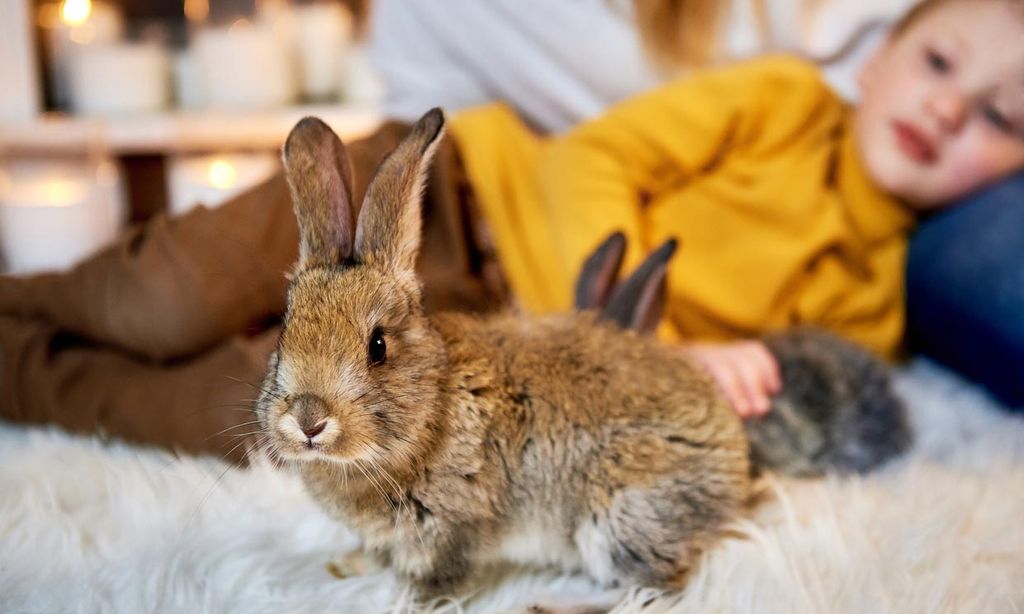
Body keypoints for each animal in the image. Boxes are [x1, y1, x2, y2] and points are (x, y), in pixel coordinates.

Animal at [255, 109, 755, 601]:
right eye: (283, 333)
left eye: (377, 347)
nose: (308, 421)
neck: (434, 408)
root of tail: (735, 459)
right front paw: (346, 566)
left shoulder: (449, 529)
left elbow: (433, 584)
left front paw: (401, 599)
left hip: (618, 520)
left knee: (656, 588)